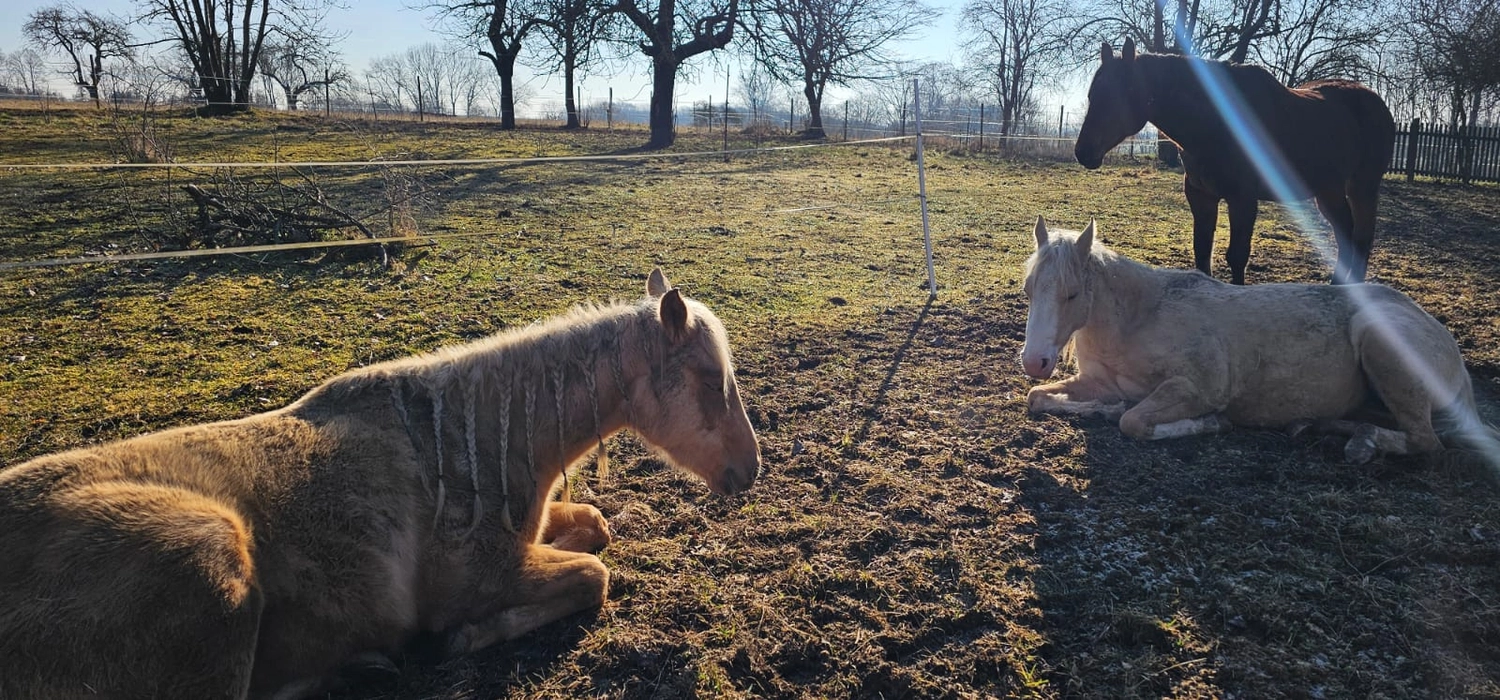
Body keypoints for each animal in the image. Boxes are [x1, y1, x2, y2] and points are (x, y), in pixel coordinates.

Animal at [0, 268, 761, 700]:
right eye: (706, 380)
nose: (750, 469)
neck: (467, 444)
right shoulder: (484, 578)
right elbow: (592, 577)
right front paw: (459, 640)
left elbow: (597, 528)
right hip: (208, 557)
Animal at [1019, 217, 1496, 464]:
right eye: (1028, 289)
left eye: (1072, 294)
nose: (1034, 361)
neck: (1140, 316)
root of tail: (1448, 344)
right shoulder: (1097, 382)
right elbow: (1038, 399)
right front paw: (1100, 407)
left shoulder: (1198, 387)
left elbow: (1134, 421)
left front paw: (1212, 423)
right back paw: (1320, 428)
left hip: (1381, 343)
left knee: (1426, 442)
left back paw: (1360, 444)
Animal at [1073, 37, 1396, 286]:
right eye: (1092, 95)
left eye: (1123, 92)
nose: (1083, 151)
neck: (1216, 123)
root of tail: (1376, 102)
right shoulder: (1201, 195)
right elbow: (1202, 251)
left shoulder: (1243, 198)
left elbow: (1237, 256)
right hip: (1328, 190)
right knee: (1347, 234)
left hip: (1363, 187)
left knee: (1362, 237)